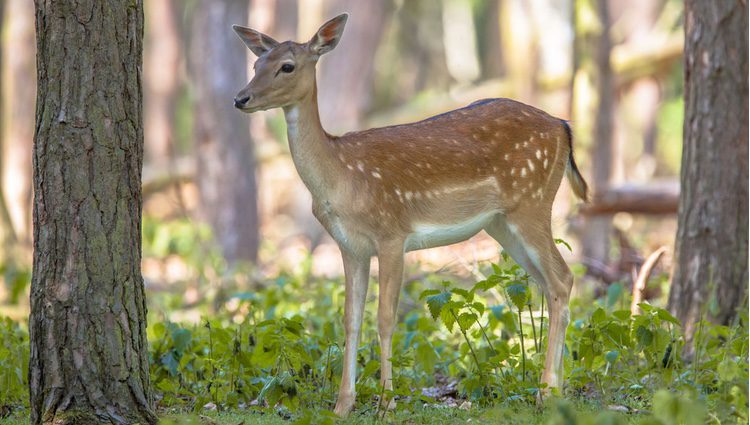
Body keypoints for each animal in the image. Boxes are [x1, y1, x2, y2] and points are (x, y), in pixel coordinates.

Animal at [232, 12, 592, 414]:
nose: (240, 98)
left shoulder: (392, 232)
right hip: (502, 223)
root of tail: (563, 126)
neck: (341, 178)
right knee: (549, 284)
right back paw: (551, 390)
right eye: (256, 64)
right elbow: (349, 319)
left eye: (287, 66)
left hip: (532, 203)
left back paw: (547, 392)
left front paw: (386, 402)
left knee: (562, 277)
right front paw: (343, 404)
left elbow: (385, 317)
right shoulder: (350, 246)